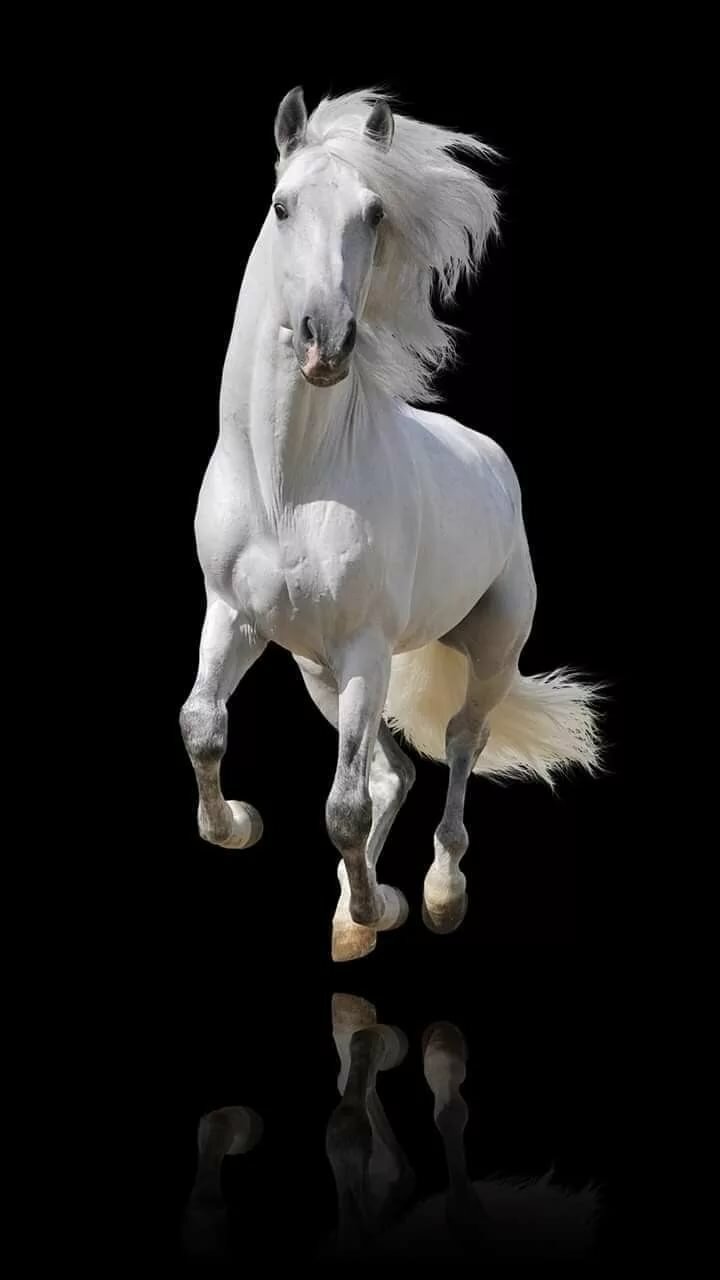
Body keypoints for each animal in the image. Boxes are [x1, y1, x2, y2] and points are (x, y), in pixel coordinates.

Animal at [179, 87, 601, 962]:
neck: (289, 485)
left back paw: (435, 898)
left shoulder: (365, 648)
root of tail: (493, 459)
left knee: (459, 750)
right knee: (393, 773)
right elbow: (201, 725)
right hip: (317, 671)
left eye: (374, 213)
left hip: (484, 653)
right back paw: (351, 917)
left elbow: (342, 808)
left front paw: (387, 908)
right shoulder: (232, 615)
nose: (325, 343)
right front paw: (241, 827)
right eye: (281, 205)